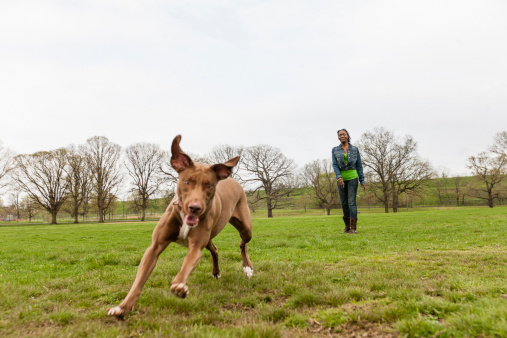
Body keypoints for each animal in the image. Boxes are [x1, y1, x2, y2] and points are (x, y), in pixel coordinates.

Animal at [109, 134, 256, 316]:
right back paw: (216, 272)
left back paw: (247, 267)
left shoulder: (196, 246)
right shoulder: (155, 246)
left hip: (245, 226)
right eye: (187, 181)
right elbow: (138, 281)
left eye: (209, 185)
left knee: (243, 243)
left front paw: (179, 286)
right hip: (210, 237)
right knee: (214, 249)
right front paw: (123, 307)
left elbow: (186, 265)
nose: (195, 207)